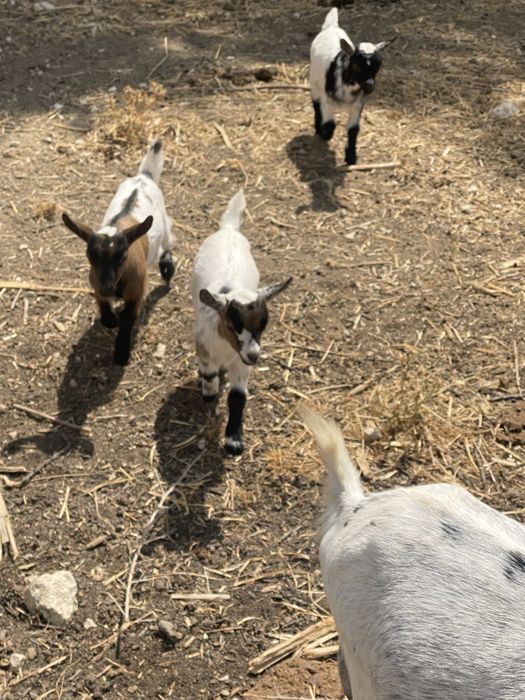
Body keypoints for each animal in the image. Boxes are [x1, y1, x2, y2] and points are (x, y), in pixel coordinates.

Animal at [62, 139, 175, 366]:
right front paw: (109, 320)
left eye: (123, 258)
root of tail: (144, 176)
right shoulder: (95, 283)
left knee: (168, 241)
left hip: (164, 222)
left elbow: (128, 318)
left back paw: (167, 269)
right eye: (90, 257)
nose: (107, 287)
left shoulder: (137, 289)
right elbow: (105, 310)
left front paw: (121, 354)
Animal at [191, 189, 292, 455]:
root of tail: (229, 229)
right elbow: (209, 375)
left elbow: (237, 398)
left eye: (264, 324)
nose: (254, 355)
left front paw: (234, 441)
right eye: (231, 324)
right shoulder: (204, 347)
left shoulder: (241, 364)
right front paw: (209, 392)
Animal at [310, 8, 395, 165]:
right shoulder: (327, 101)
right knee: (315, 103)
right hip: (314, 83)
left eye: (378, 65)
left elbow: (353, 129)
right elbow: (330, 125)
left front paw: (351, 157)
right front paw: (325, 134)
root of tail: (331, 27)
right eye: (356, 65)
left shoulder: (357, 106)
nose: (369, 86)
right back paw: (318, 129)